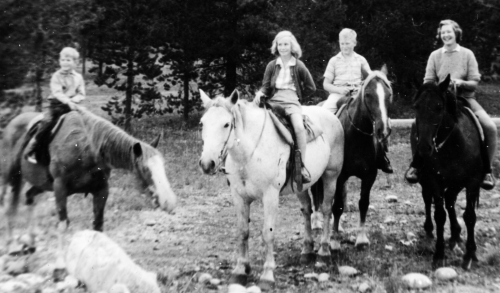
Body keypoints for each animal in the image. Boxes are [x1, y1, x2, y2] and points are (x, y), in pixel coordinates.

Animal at [0, 107, 177, 274]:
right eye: (146, 169)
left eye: (163, 165)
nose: (169, 201)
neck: (85, 148)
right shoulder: (60, 188)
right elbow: (62, 224)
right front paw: (60, 264)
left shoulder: (101, 190)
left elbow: (98, 226)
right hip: (12, 177)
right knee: (9, 208)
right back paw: (11, 246)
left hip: (40, 185)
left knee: (29, 197)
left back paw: (31, 242)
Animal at [199, 90, 344, 288]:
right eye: (202, 123)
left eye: (226, 124)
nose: (207, 164)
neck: (249, 154)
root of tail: (331, 115)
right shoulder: (239, 197)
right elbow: (243, 232)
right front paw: (240, 271)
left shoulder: (270, 196)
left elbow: (268, 233)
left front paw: (267, 275)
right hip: (300, 186)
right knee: (307, 210)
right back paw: (307, 251)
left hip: (331, 176)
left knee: (327, 210)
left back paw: (323, 253)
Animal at [410, 75, 484, 270]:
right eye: (416, 106)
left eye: (439, 107)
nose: (424, 148)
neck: (453, 145)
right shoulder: (434, 180)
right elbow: (439, 215)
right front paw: (439, 254)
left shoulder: (472, 182)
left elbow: (469, 216)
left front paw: (470, 255)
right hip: (428, 180)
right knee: (428, 199)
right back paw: (430, 231)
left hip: (456, 182)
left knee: (450, 200)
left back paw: (456, 235)